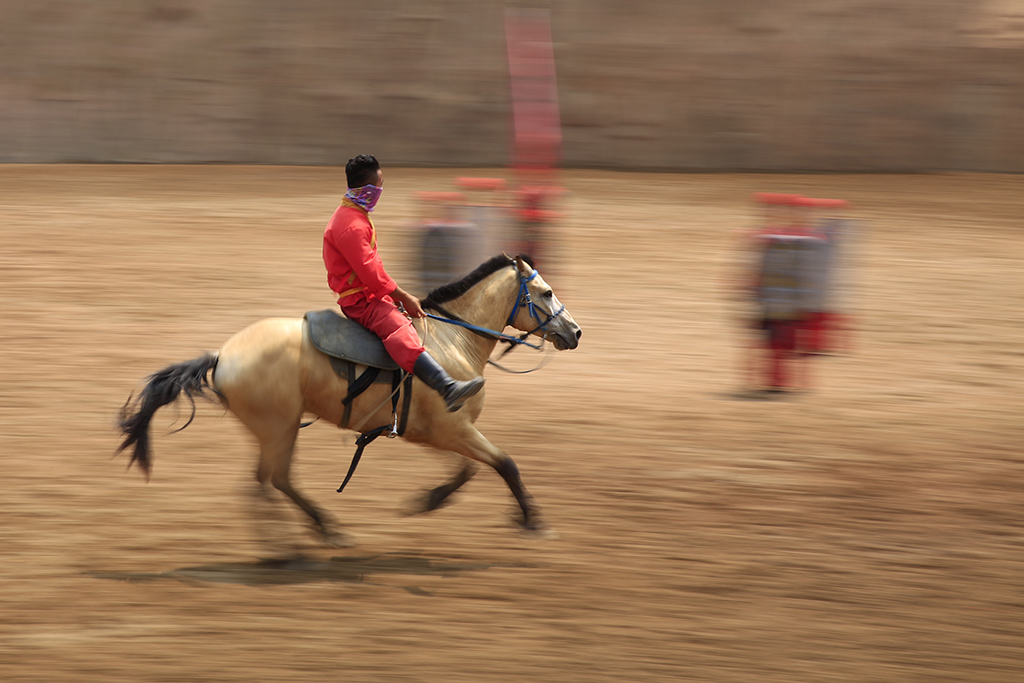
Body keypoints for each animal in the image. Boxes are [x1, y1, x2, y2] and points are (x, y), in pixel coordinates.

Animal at [116, 253, 581, 548]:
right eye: (545, 292)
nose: (575, 332)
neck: (452, 340)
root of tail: (223, 355)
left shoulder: (435, 433)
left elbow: (467, 470)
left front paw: (430, 499)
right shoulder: (453, 429)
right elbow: (505, 463)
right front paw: (533, 521)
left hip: (276, 430)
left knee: (266, 484)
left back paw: (307, 538)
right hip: (279, 429)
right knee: (273, 482)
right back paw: (303, 543)